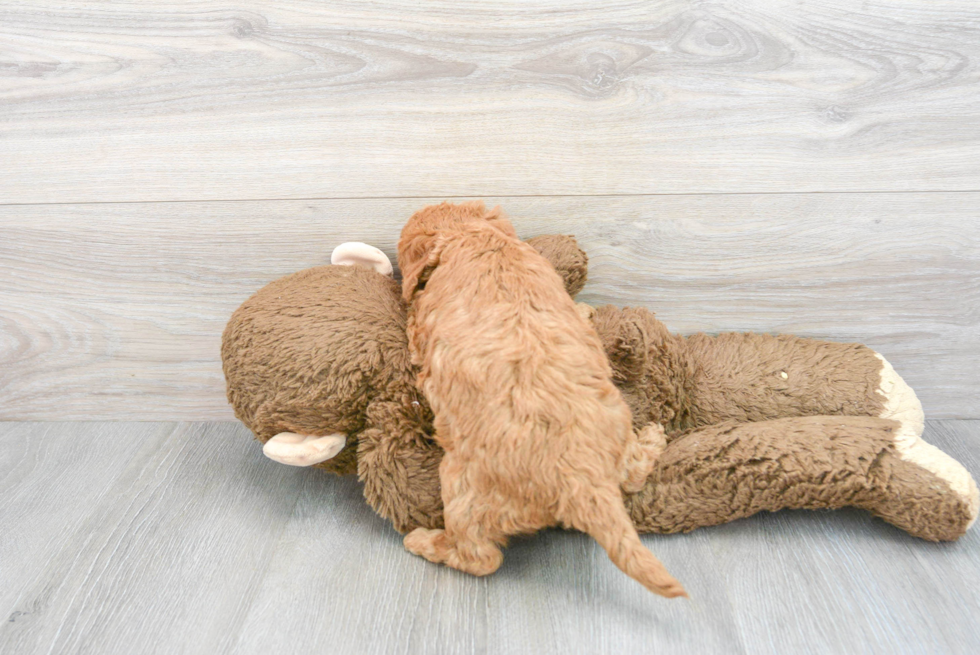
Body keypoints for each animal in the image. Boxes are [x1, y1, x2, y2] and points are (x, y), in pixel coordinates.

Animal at [398, 201, 688, 600]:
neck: (473, 238)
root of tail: (584, 480)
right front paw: (586, 312)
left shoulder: (421, 330)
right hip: (617, 419)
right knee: (631, 475)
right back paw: (652, 438)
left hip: (462, 487)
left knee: (480, 557)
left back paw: (425, 542)